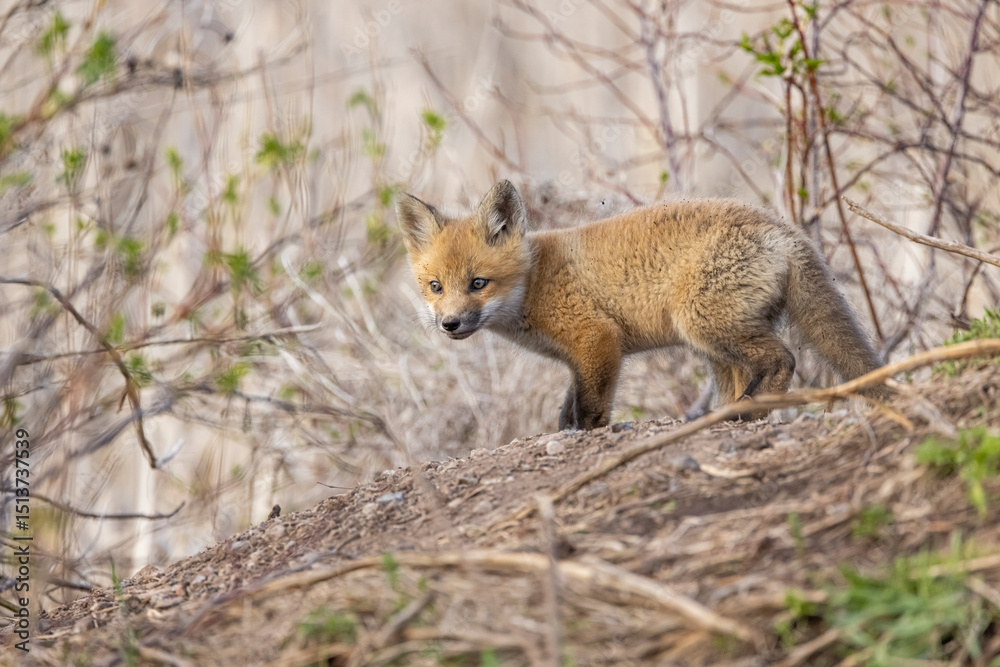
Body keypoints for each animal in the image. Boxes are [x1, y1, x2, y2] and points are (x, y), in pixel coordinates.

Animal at [397, 180, 888, 430]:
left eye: (478, 283)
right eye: (435, 286)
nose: (450, 324)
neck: (535, 282)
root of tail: (785, 230)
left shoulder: (597, 339)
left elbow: (590, 410)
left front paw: (588, 435)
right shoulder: (578, 359)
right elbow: (567, 409)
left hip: (703, 323)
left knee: (783, 360)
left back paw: (746, 411)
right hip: (716, 343)